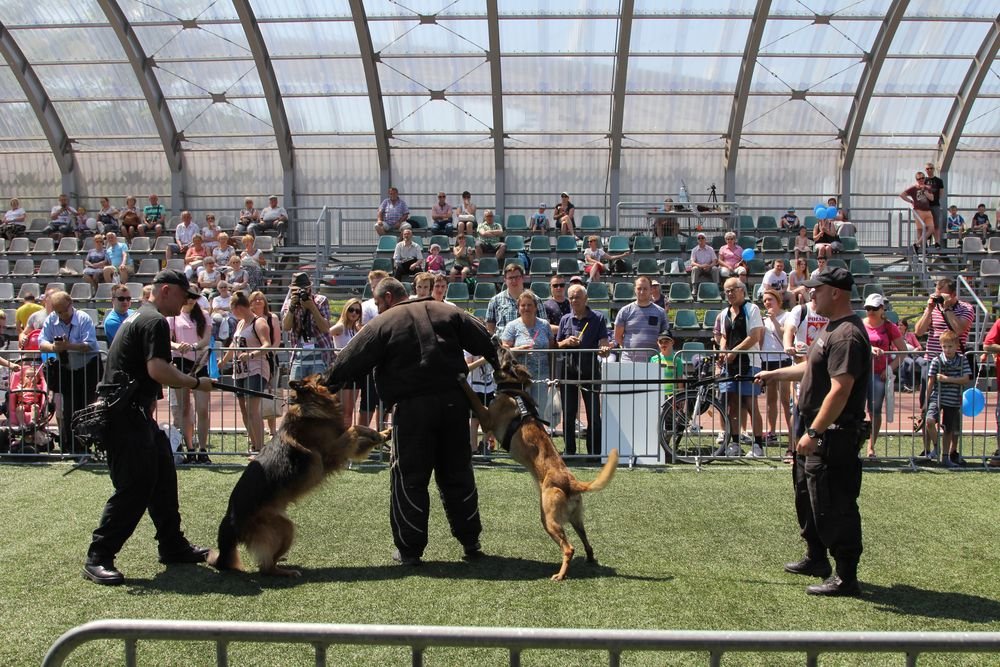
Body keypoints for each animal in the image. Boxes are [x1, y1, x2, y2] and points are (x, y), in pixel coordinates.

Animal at [207, 378, 386, 576]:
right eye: (323, 377)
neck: (309, 404)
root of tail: (230, 521)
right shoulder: (333, 451)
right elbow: (355, 427)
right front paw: (377, 434)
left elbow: (362, 434)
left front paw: (383, 434)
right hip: (286, 528)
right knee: (266, 568)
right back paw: (286, 572)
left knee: (266, 561)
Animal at [460, 348, 616, 580]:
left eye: (505, 355)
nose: (497, 341)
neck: (513, 390)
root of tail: (572, 483)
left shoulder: (487, 418)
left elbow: (473, 397)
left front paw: (462, 380)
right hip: (576, 519)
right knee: (586, 542)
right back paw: (589, 559)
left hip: (549, 519)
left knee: (569, 548)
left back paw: (560, 575)